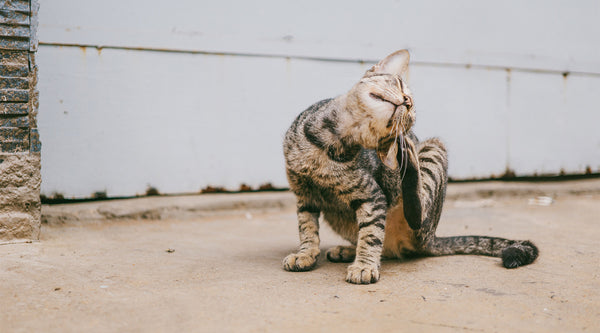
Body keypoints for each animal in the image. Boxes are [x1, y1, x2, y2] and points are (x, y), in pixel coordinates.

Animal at [282, 48, 540, 282]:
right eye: (398, 84)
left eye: (410, 115)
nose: (407, 102)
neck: (328, 143)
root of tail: (431, 237)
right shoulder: (304, 195)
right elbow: (307, 229)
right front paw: (305, 254)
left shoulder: (373, 196)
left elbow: (371, 234)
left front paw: (364, 265)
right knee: (381, 246)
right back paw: (347, 250)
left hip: (433, 154)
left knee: (415, 214)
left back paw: (407, 156)